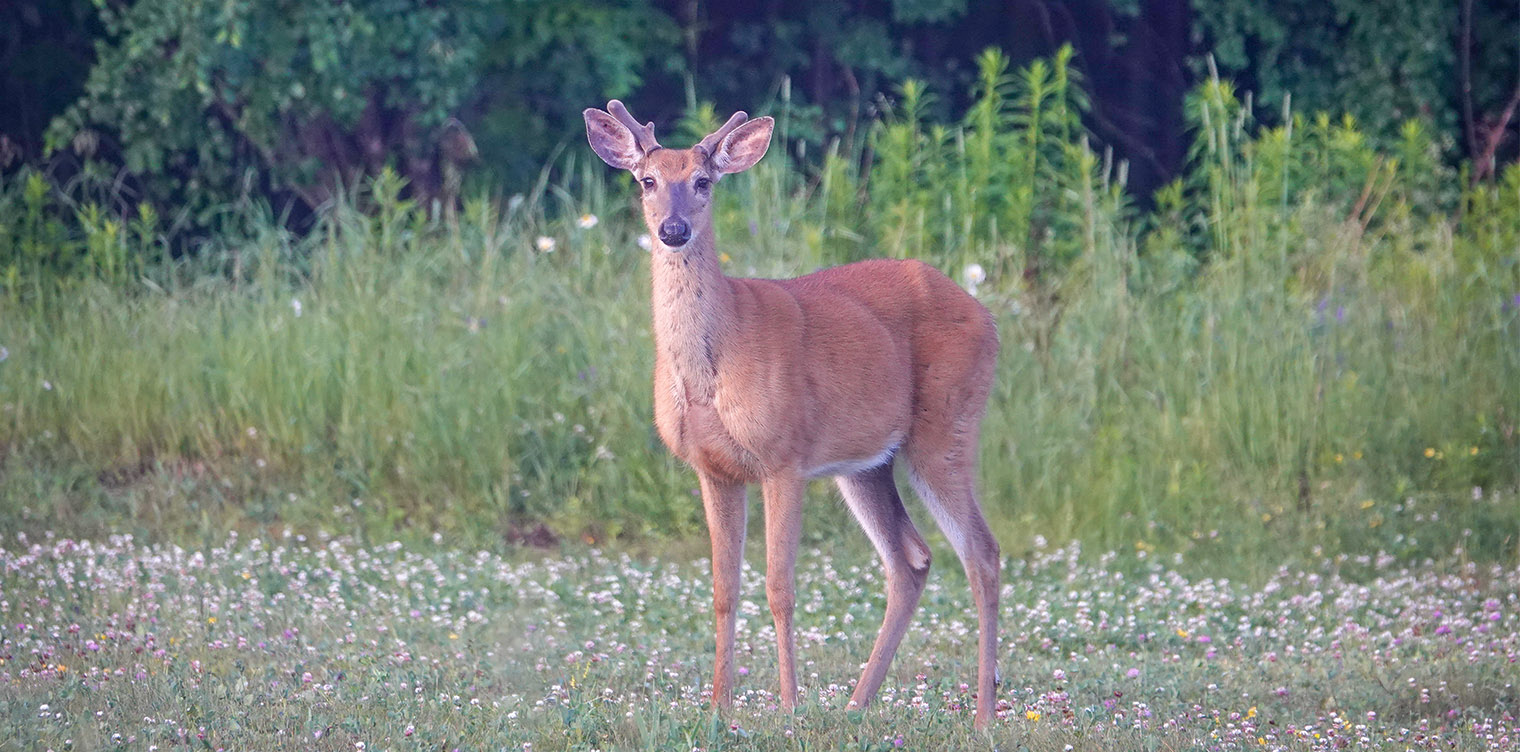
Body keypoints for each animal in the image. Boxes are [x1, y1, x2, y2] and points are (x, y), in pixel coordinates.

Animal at [586, 100, 1003, 729]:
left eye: (703, 181)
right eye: (647, 180)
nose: (673, 230)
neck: (712, 366)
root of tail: (988, 316)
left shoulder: (783, 457)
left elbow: (780, 587)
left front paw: (787, 704)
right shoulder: (713, 469)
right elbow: (723, 589)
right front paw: (718, 706)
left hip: (945, 427)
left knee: (981, 553)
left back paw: (982, 714)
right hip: (866, 463)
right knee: (911, 559)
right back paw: (857, 703)